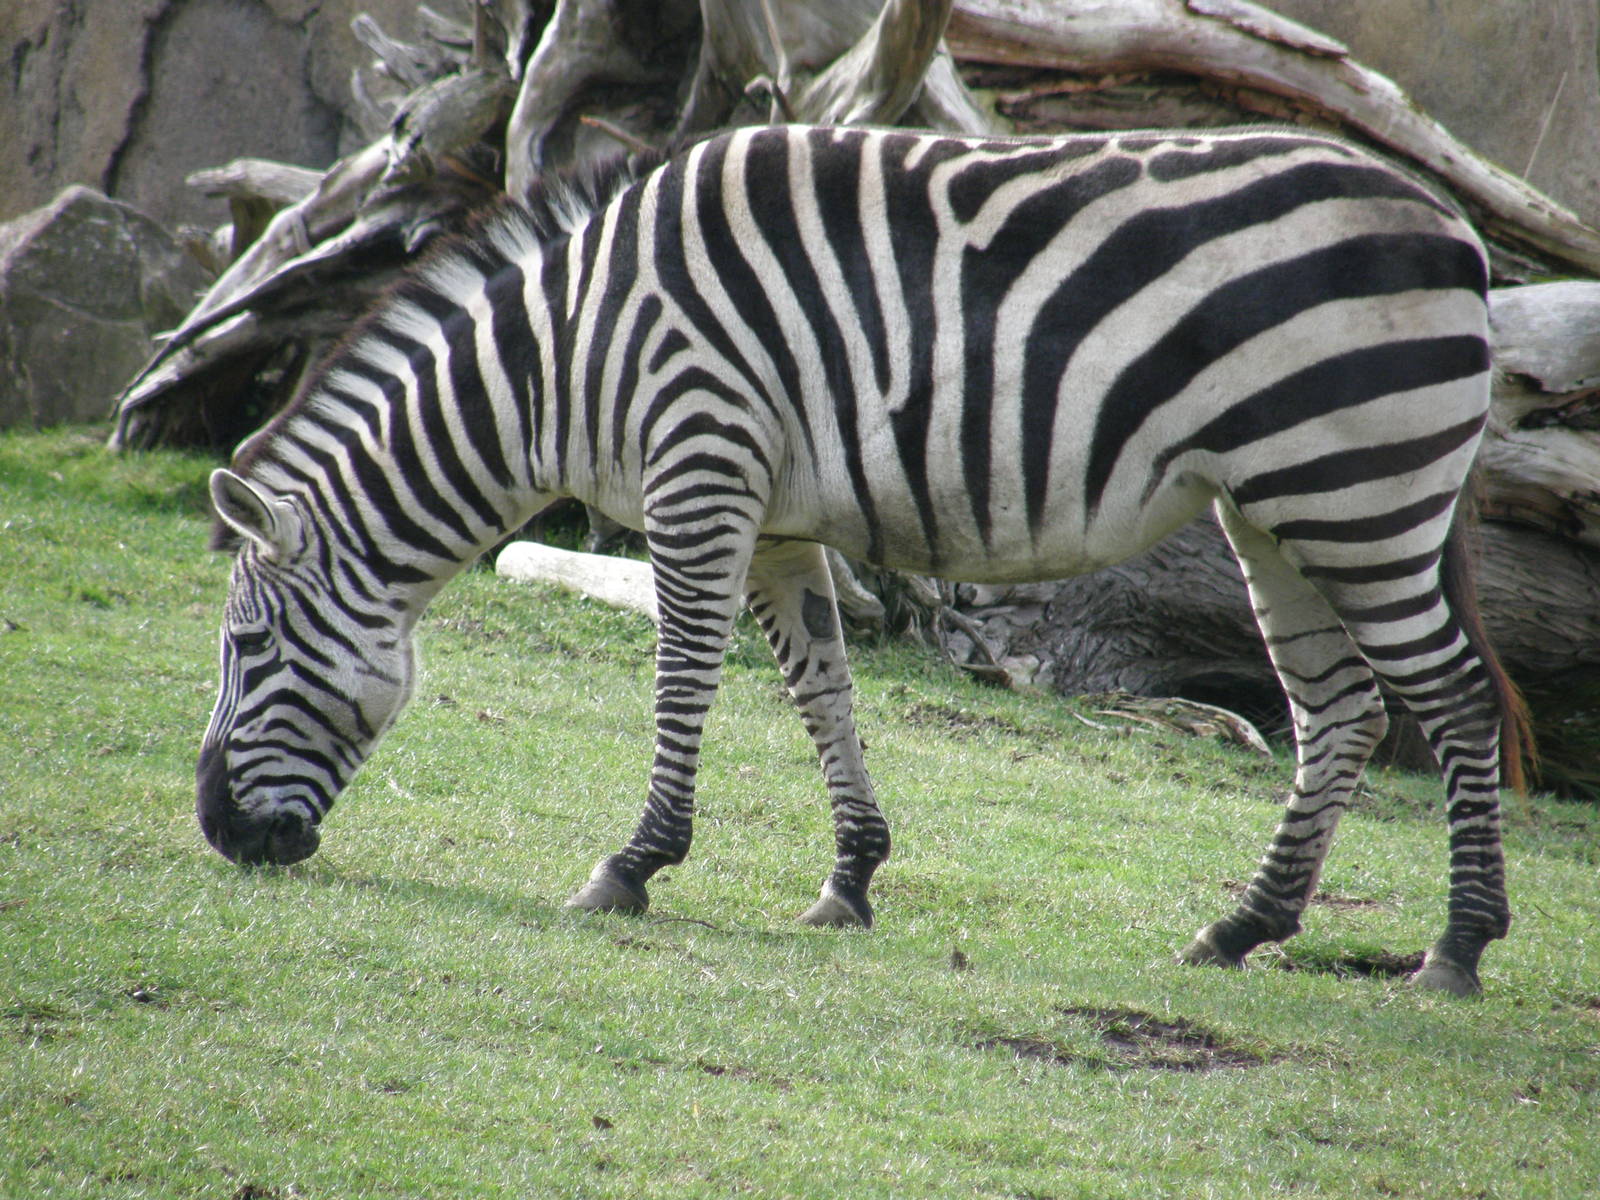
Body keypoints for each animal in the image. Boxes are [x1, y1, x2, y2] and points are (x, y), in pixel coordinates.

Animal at [197, 122, 1527, 996]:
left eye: (246, 646)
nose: (217, 834)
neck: (562, 356)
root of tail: (1455, 229)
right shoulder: (774, 520)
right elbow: (820, 692)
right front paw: (850, 880)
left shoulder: (699, 467)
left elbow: (684, 678)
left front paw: (632, 864)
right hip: (1277, 508)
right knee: (1340, 710)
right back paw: (1242, 928)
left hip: (1358, 490)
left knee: (1452, 698)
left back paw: (1455, 949)